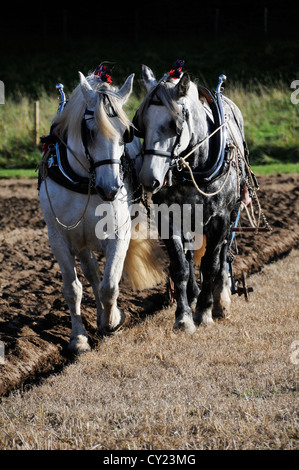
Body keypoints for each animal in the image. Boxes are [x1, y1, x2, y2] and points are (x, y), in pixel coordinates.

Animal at [38, 71, 165, 354]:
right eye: (90, 131)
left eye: (126, 133)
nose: (111, 189)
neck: (85, 181)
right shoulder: (58, 237)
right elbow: (73, 288)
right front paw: (78, 338)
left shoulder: (119, 235)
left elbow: (110, 285)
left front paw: (113, 321)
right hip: (81, 241)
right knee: (91, 274)